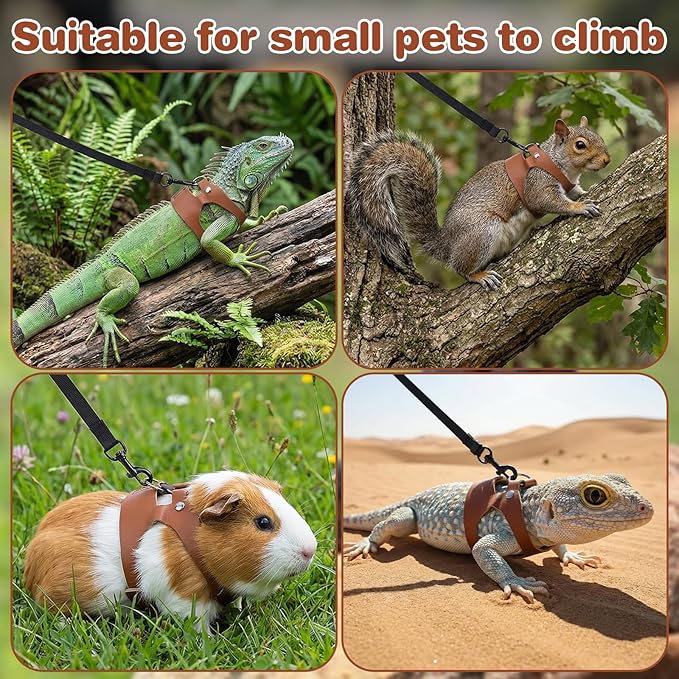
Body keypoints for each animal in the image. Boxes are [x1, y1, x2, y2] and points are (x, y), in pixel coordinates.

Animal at [346, 117, 611, 290]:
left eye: (600, 137)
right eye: (580, 145)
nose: (607, 160)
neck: (556, 162)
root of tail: (446, 244)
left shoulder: (569, 186)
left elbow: (576, 191)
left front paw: (585, 192)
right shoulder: (537, 183)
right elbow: (548, 201)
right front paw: (580, 207)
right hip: (482, 231)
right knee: (460, 268)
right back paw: (478, 275)